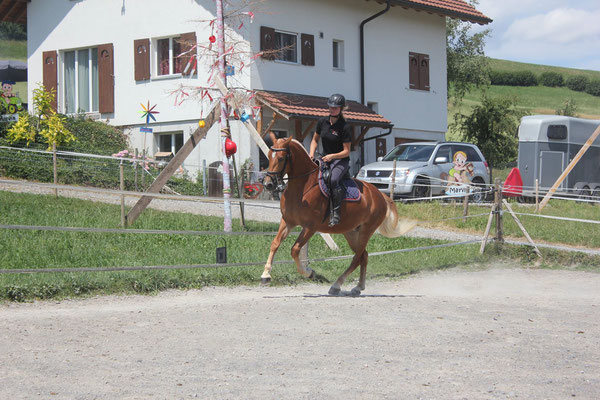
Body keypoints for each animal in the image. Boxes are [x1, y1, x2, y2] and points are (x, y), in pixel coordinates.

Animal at [262, 134, 418, 294]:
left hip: (366, 231)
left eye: (281, 158)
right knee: (364, 255)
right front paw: (266, 274)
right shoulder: (288, 221)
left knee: (357, 258)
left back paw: (337, 285)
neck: (303, 188)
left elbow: (295, 249)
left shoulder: (310, 226)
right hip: (351, 232)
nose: (268, 184)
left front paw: (310, 273)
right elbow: (275, 244)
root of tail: (380, 195)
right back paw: (358, 286)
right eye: (269, 155)